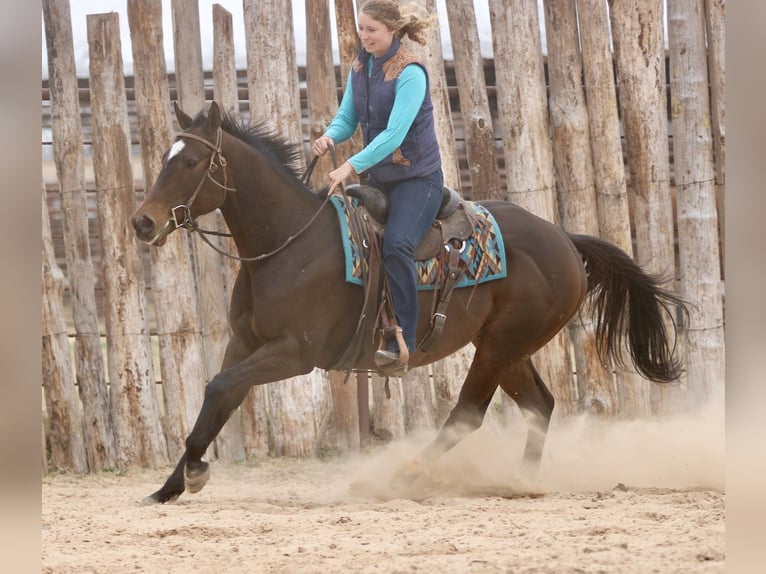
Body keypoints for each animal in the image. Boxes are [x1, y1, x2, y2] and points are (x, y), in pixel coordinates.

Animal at [132, 101, 687, 504]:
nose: (142, 222)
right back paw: (522, 482)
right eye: (163, 158)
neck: (291, 244)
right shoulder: (245, 345)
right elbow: (219, 396)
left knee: (468, 412)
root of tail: (566, 241)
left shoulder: (294, 353)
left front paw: (193, 472)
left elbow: (220, 387)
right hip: (507, 347)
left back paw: (408, 475)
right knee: (538, 405)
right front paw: (171, 485)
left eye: (191, 162)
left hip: (500, 347)